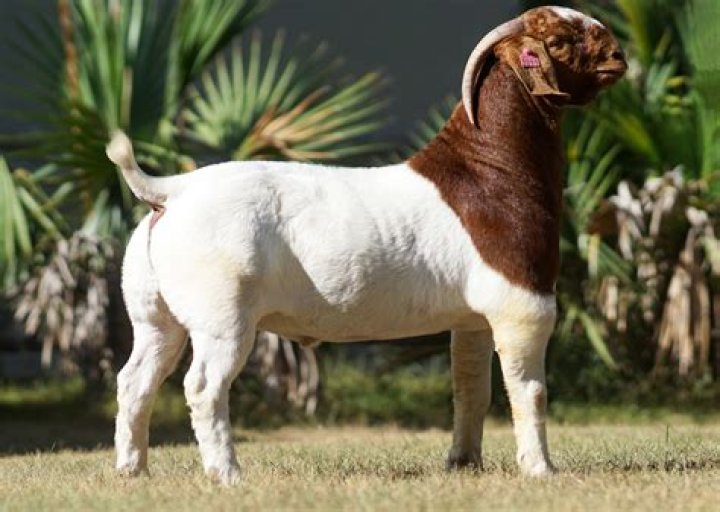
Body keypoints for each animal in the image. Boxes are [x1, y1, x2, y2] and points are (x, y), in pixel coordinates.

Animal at [107, 6, 626, 484]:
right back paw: (227, 473)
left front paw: (464, 463)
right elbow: (529, 390)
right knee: (204, 386)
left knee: (135, 380)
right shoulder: (524, 305)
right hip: (222, 315)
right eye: (559, 40)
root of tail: (172, 192)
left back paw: (133, 470)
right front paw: (541, 469)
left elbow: (470, 389)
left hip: (154, 316)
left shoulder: (473, 319)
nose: (619, 56)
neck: (488, 169)